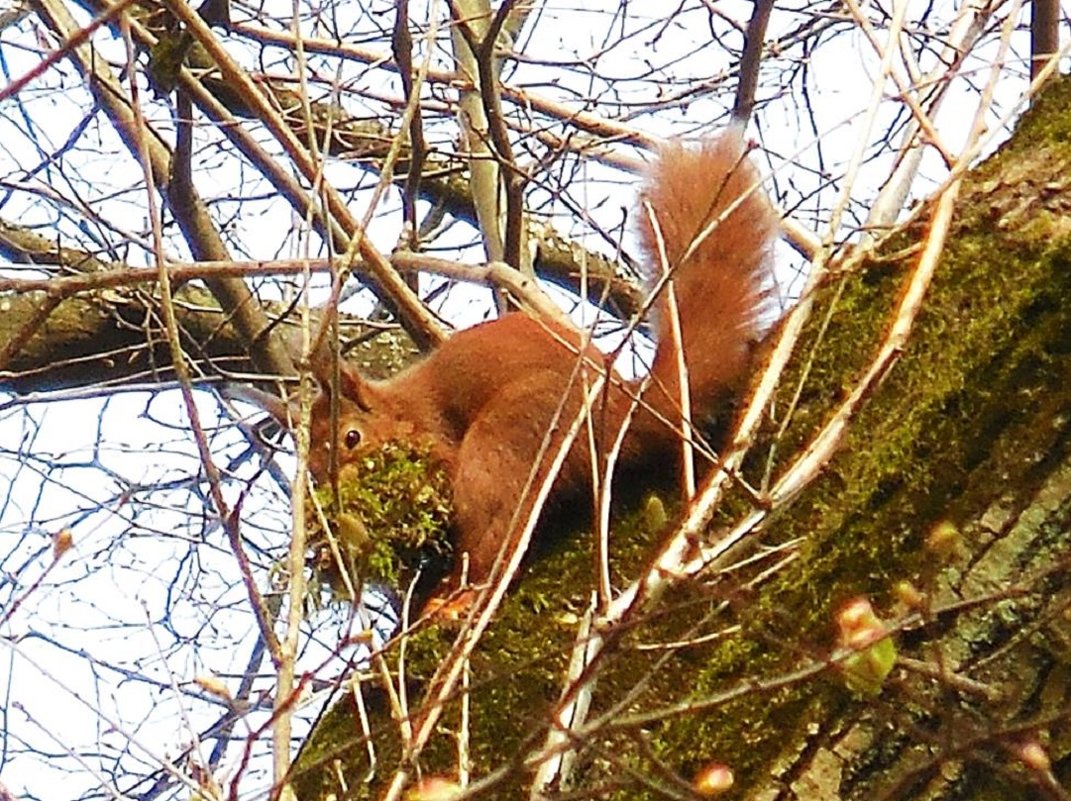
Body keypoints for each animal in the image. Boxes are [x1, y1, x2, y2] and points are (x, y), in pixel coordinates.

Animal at [306, 128, 775, 595]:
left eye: (351, 438)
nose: (327, 495)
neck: (399, 409)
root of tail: (622, 409)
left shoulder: (432, 434)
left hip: (513, 436)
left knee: (496, 534)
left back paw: (459, 595)